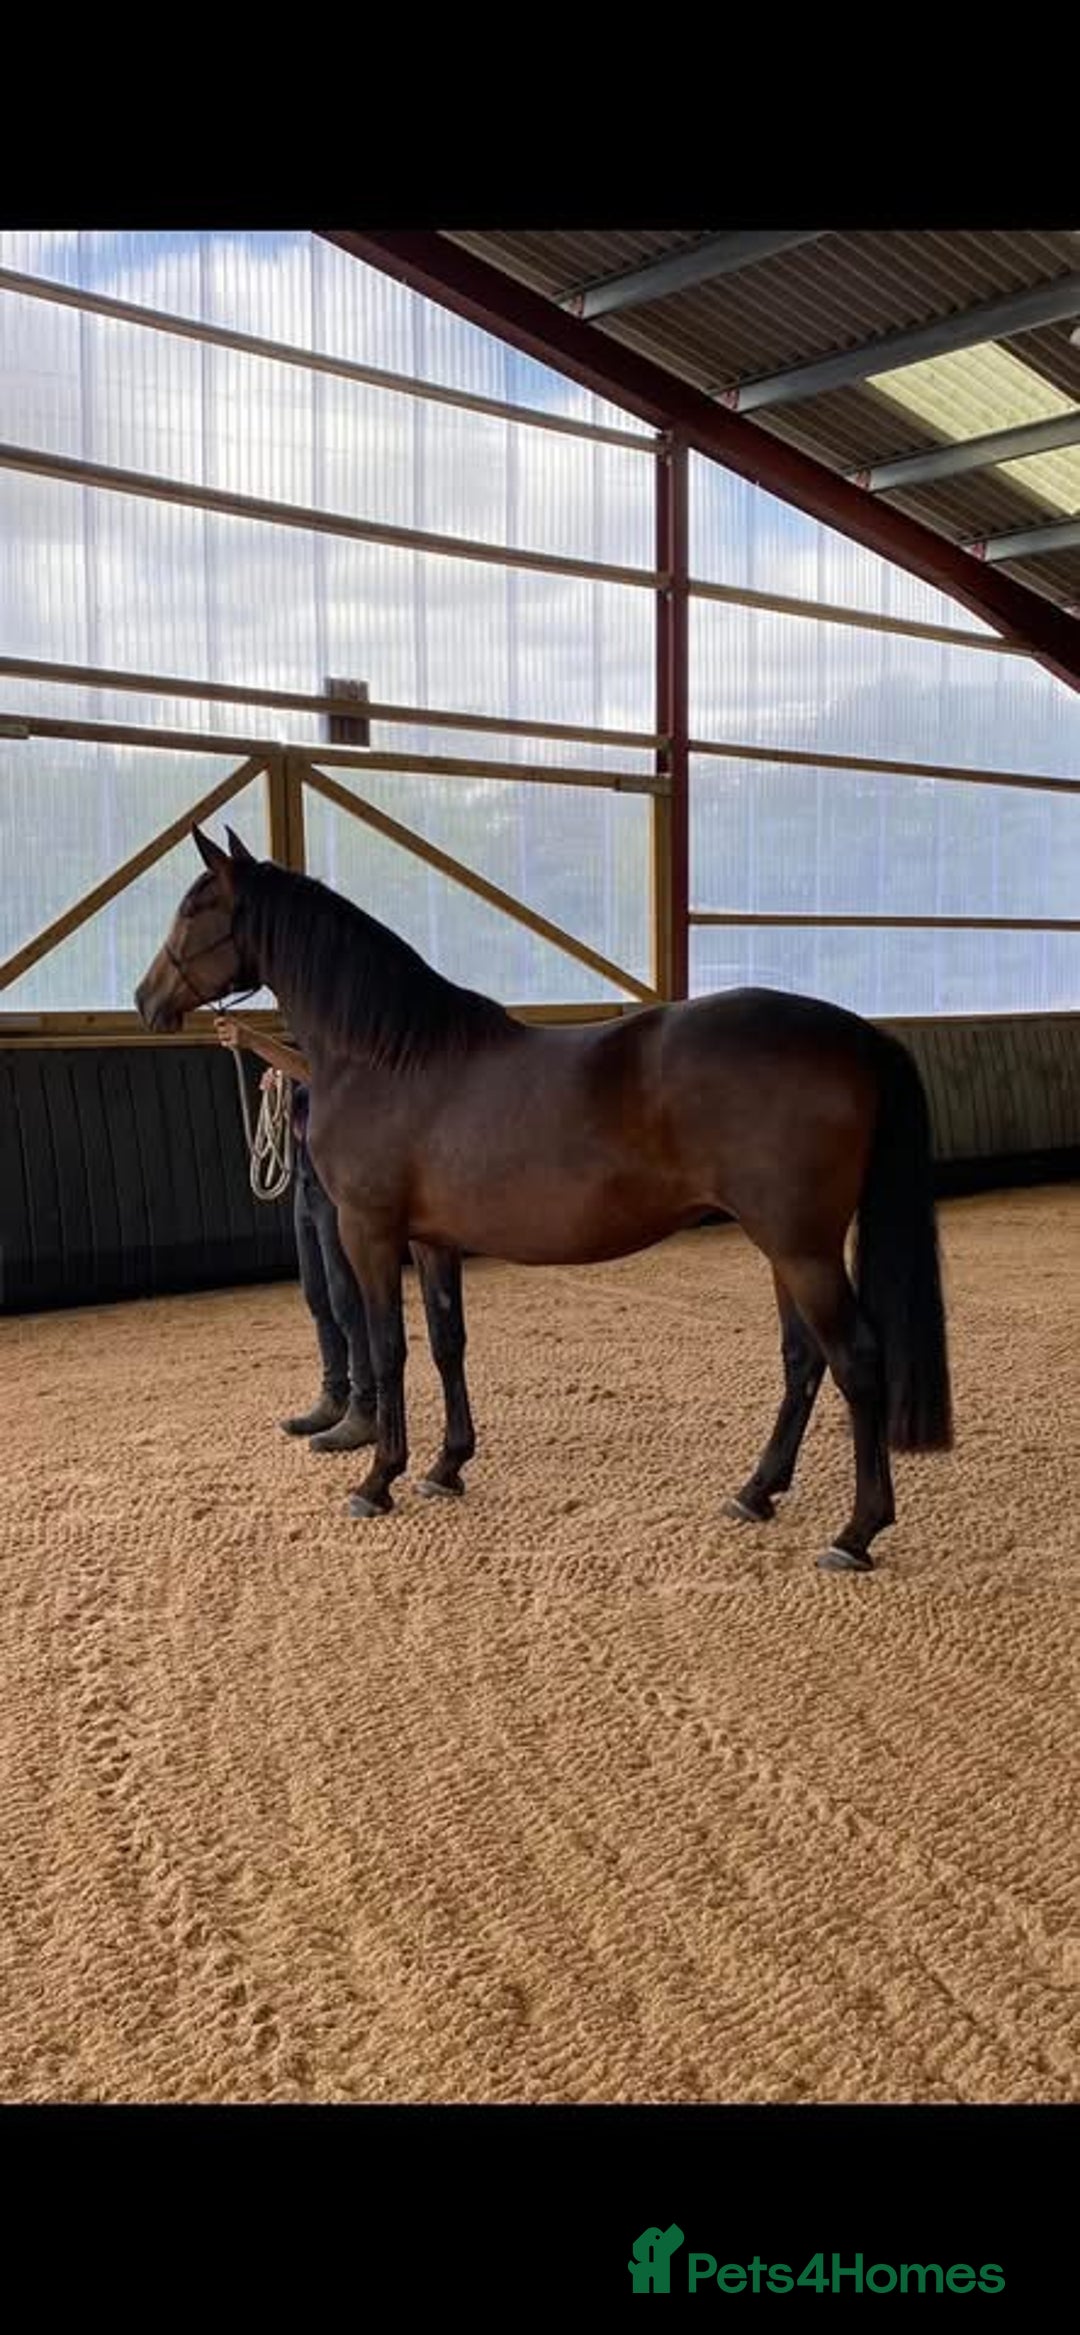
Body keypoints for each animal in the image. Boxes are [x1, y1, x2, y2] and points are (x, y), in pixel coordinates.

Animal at [134, 827, 953, 1573]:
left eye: (195, 906)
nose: (145, 999)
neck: (386, 1057)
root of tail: (858, 1035)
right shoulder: (432, 1239)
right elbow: (448, 1342)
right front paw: (446, 1466)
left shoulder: (370, 1232)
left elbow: (390, 1345)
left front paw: (378, 1480)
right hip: (786, 1245)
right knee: (802, 1359)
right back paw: (756, 1493)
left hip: (800, 1246)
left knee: (856, 1362)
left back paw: (856, 1532)